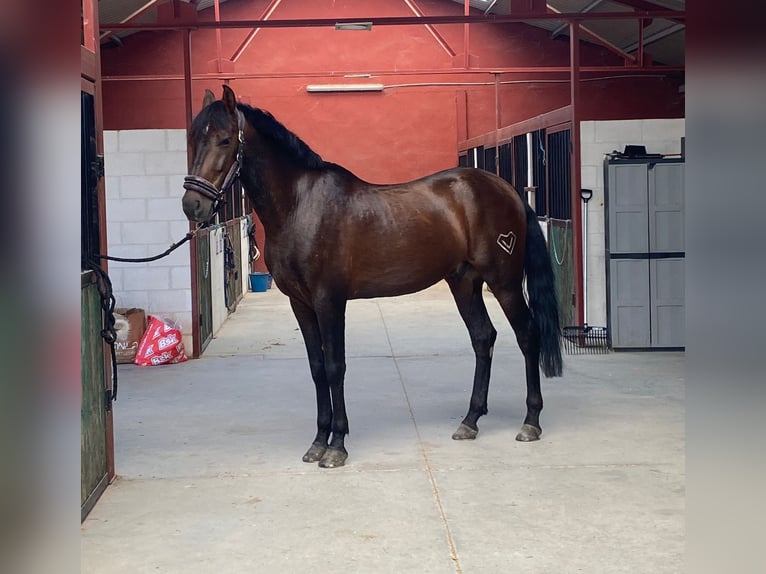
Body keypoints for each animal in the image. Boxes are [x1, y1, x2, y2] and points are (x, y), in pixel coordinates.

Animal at [181, 86, 564, 472]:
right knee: (483, 338)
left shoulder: (329, 301)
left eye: (225, 139)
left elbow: (335, 367)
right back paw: (470, 421)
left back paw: (530, 422)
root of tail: (507, 188)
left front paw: (336, 445)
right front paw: (318, 442)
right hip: (464, 283)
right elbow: (317, 368)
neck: (300, 207)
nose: (192, 205)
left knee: (527, 336)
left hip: (505, 282)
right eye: (194, 138)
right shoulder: (300, 304)